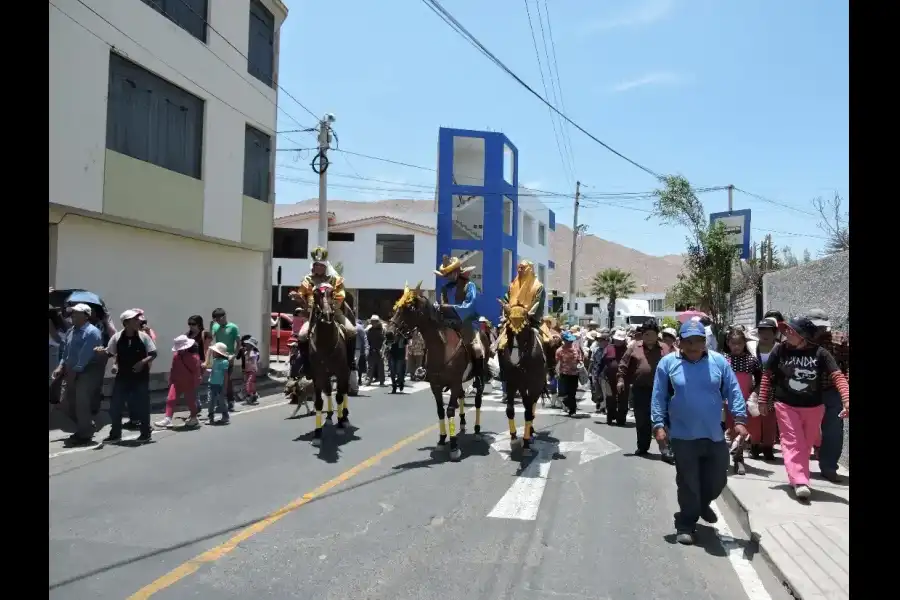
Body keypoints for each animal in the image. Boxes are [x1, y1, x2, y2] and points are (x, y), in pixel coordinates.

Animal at [310, 282, 352, 446]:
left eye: (332, 292)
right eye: (315, 293)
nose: (327, 315)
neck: (325, 343)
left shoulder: (341, 372)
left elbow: (340, 396)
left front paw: (340, 424)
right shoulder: (317, 375)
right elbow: (318, 402)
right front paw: (317, 433)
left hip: (346, 370)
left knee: (344, 390)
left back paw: (344, 417)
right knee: (328, 391)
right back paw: (328, 417)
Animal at [392, 284, 488, 462]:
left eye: (409, 308)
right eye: (398, 308)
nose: (388, 333)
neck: (442, 348)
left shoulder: (454, 383)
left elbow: (449, 410)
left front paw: (454, 446)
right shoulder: (435, 385)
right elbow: (440, 411)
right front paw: (442, 440)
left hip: (480, 375)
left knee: (478, 400)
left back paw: (477, 431)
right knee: (462, 395)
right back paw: (462, 423)